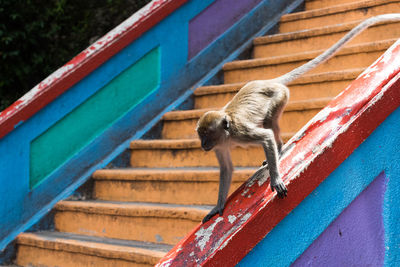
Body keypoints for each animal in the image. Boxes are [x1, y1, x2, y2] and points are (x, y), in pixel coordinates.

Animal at [198, 14, 400, 224]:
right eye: (200, 135)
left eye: (207, 134)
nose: (203, 144)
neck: (228, 133)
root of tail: (270, 82)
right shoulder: (220, 146)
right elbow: (226, 168)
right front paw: (218, 207)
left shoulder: (241, 132)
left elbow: (266, 136)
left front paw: (276, 178)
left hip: (280, 96)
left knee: (269, 122)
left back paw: (279, 149)